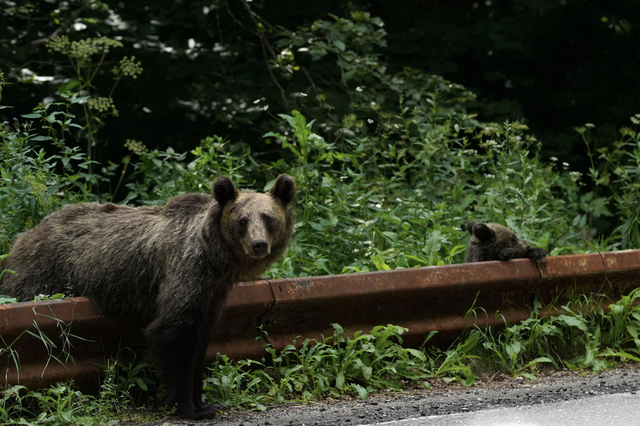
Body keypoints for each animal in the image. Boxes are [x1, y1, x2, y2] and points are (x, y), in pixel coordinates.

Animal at [0, 174, 296, 420]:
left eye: (269, 218)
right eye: (242, 220)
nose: (259, 244)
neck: (216, 257)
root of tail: (27, 233)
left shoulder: (214, 292)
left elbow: (202, 340)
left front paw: (206, 402)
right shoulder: (186, 271)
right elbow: (175, 332)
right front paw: (190, 408)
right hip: (43, 275)